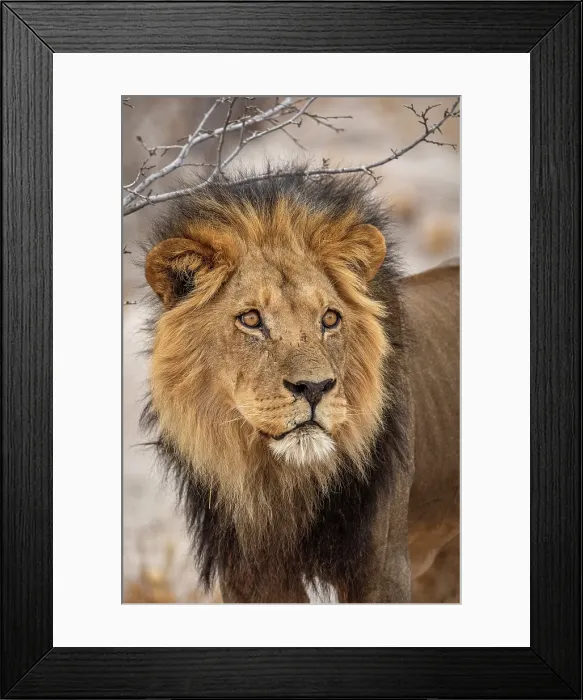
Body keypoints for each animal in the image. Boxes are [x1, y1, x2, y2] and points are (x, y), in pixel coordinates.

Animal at [140, 168, 459, 603]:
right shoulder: (248, 576)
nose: (314, 387)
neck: (281, 482)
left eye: (329, 318)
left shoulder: (382, 566)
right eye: (252, 319)